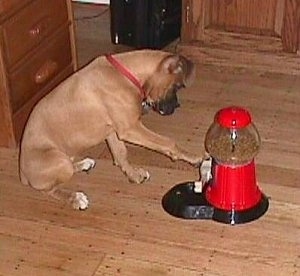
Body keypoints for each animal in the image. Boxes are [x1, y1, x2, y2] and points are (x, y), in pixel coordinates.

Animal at [19, 50, 206, 209]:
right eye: (177, 86)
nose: (176, 106)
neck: (125, 75)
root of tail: (22, 173)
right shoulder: (131, 128)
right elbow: (168, 142)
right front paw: (194, 157)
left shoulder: (112, 131)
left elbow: (120, 154)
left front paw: (133, 175)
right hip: (58, 161)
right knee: (48, 189)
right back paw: (75, 198)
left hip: (64, 158)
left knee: (68, 168)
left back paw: (83, 164)